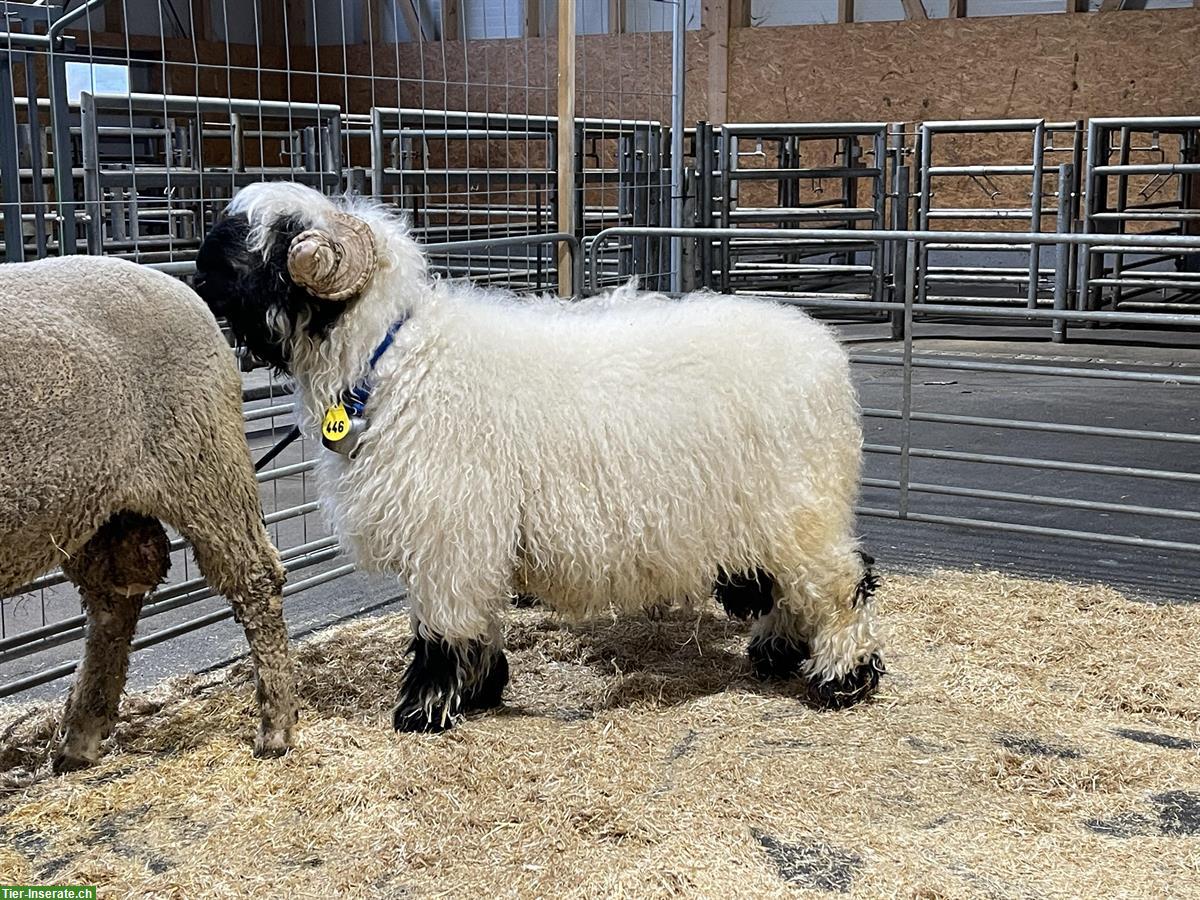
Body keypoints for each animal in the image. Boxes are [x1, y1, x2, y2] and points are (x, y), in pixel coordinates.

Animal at [0, 256, 297, 772]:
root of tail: (174, 284)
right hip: (100, 502)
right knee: (117, 596)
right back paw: (82, 738)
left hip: (203, 457)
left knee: (253, 575)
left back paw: (276, 725)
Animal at [196, 181, 883, 734]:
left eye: (270, 240)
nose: (197, 277)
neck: (393, 359)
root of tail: (826, 354)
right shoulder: (469, 537)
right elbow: (476, 620)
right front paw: (479, 691)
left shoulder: (448, 529)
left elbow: (442, 626)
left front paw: (422, 711)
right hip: (767, 517)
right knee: (791, 590)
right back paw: (775, 653)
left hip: (801, 504)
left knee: (840, 584)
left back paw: (843, 677)